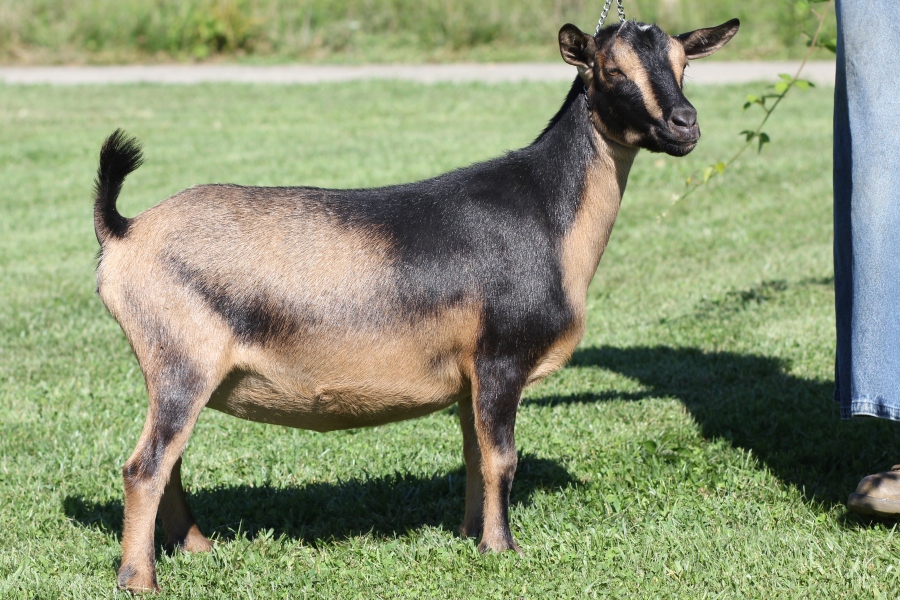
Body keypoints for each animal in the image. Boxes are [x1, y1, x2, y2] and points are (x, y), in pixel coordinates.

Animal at [94, 18, 739, 592]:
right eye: (611, 70)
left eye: (683, 64)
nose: (685, 124)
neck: (546, 213)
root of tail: (124, 232)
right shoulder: (501, 359)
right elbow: (502, 457)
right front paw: (504, 549)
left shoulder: (470, 376)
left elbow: (476, 455)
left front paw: (472, 536)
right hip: (183, 361)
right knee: (145, 466)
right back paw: (139, 579)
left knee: (170, 460)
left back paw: (197, 547)